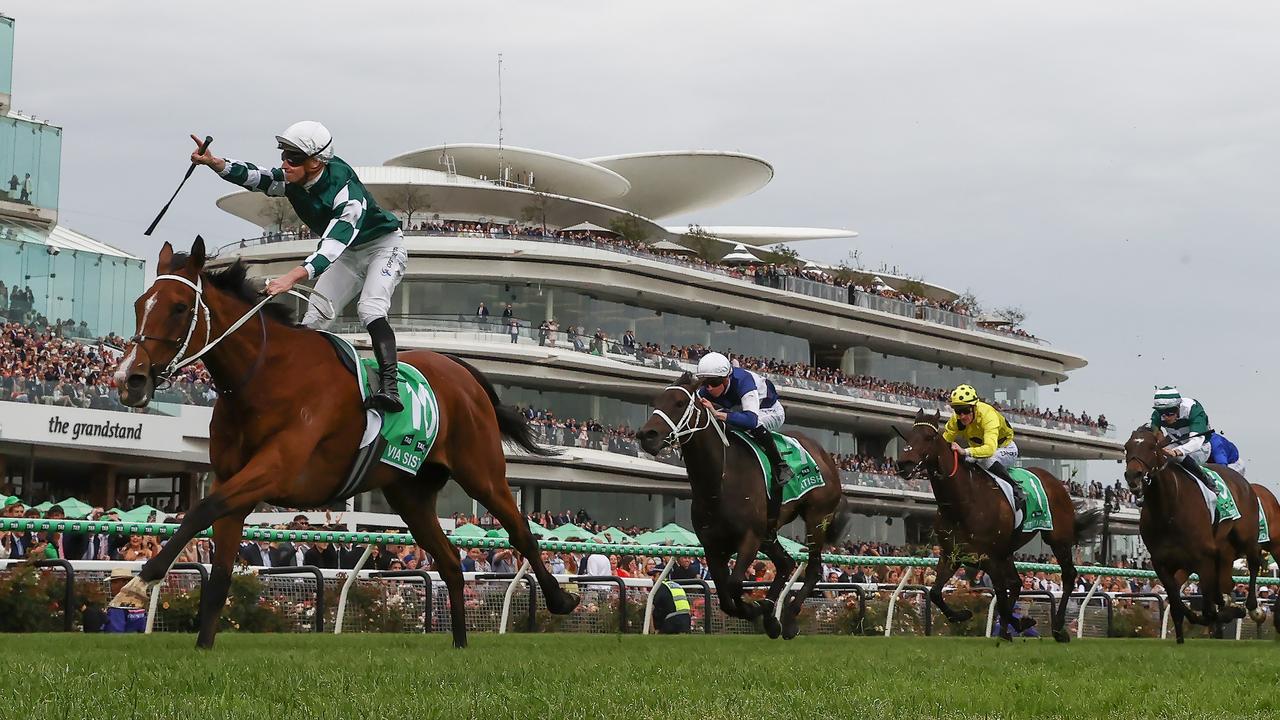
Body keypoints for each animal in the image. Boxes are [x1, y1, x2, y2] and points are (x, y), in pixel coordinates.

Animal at [110, 238, 581, 648]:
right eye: (138, 304)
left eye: (179, 307)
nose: (129, 379)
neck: (264, 375)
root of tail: (462, 370)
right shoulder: (232, 480)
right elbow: (220, 565)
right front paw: (202, 645)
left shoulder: (273, 469)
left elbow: (199, 510)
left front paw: (138, 582)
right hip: (410, 494)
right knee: (450, 561)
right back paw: (460, 644)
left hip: (482, 473)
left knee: (521, 532)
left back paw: (561, 599)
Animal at [632, 371, 849, 635]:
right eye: (656, 402)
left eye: (680, 403)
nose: (646, 436)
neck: (719, 482)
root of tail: (825, 456)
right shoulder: (713, 546)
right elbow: (725, 598)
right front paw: (759, 610)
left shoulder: (749, 537)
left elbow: (735, 584)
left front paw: (754, 609)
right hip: (769, 531)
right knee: (785, 563)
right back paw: (772, 617)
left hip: (817, 518)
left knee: (813, 569)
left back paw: (788, 618)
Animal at [901, 409, 1100, 638]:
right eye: (909, 435)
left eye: (929, 437)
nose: (903, 464)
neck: (963, 502)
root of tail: (1058, 483)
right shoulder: (952, 554)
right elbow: (935, 593)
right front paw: (963, 615)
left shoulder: (989, 558)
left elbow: (1002, 602)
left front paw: (1022, 622)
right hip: (1008, 550)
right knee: (1016, 583)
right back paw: (1006, 631)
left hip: (1057, 539)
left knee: (1068, 574)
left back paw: (1058, 629)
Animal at [1121, 422, 1259, 640]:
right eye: (1127, 447)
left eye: (1152, 447)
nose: (1133, 476)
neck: (1168, 511)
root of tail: (1242, 481)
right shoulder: (1162, 563)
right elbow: (1175, 600)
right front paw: (1182, 634)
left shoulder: (1203, 558)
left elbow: (1207, 609)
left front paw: (1230, 611)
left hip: (1246, 537)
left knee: (1254, 562)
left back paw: (1251, 606)